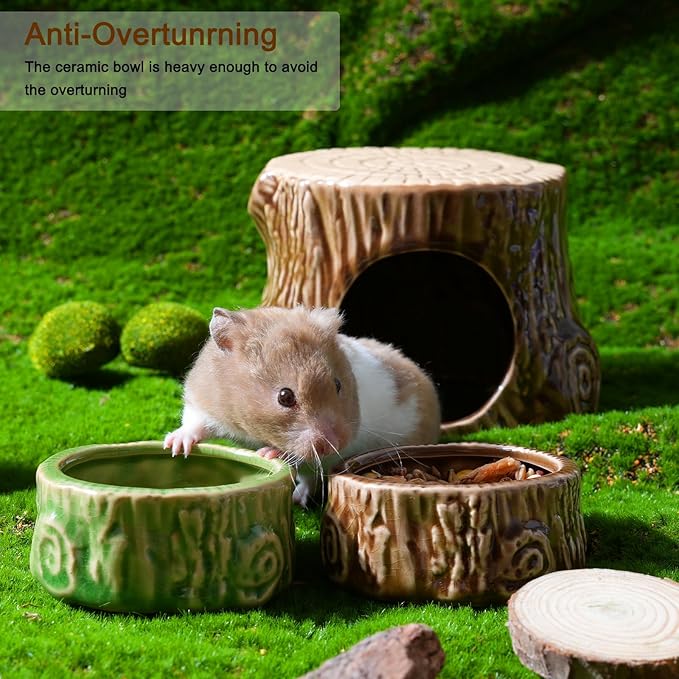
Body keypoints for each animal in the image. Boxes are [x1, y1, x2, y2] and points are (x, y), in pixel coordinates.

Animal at [163, 306, 441, 506]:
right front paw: (175, 447)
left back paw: (297, 497)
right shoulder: (203, 399)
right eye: (284, 396)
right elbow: (194, 423)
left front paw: (268, 453)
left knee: (310, 479)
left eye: (338, 384)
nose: (337, 443)